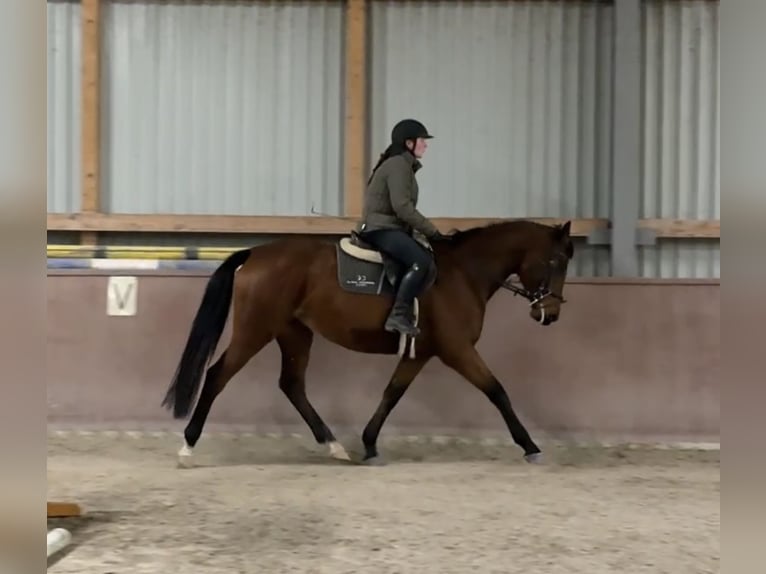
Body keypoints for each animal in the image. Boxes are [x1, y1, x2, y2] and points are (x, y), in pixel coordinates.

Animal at [161, 219, 575, 466]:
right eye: (556, 261)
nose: (551, 313)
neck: (463, 273)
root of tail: (256, 254)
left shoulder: (420, 352)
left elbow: (392, 393)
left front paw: (370, 443)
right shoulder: (457, 350)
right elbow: (497, 390)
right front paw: (530, 446)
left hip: (294, 332)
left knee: (292, 385)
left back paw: (334, 445)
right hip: (255, 330)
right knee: (217, 375)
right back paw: (188, 445)